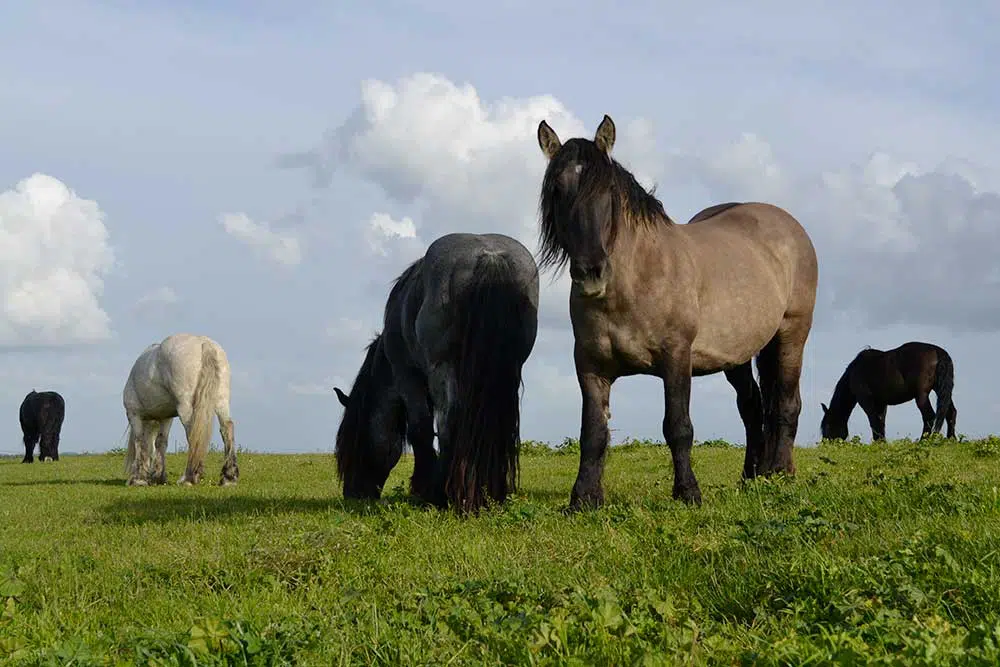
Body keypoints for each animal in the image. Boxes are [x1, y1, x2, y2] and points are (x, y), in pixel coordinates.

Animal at [122, 333, 239, 487]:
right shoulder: (165, 418)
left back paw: (188, 478)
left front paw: (138, 479)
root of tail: (204, 343)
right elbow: (160, 442)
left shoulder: (134, 415)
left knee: (193, 434)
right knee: (227, 428)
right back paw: (229, 478)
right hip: (221, 401)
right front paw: (158, 476)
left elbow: (140, 442)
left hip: (186, 408)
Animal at [333, 232, 539, 514]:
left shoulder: (408, 378)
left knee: (448, 422)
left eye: (357, 442)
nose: (353, 493)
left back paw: (445, 494)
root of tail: (490, 256)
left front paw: (422, 489)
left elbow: (420, 430)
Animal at [536, 114, 819, 509]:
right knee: (751, 406)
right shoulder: (591, 366)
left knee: (786, 404)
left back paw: (780, 472)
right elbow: (593, 432)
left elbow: (678, 426)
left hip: (792, 335)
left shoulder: (676, 357)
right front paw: (583, 499)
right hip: (736, 355)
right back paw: (752, 476)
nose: (591, 272)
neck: (636, 281)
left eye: (608, 193)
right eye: (558, 191)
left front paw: (688, 492)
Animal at [820, 341, 956, 442]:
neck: (855, 371)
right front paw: (881, 441)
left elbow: (873, 421)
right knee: (950, 412)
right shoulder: (881, 403)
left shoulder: (865, 400)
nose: (825, 444)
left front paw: (879, 442)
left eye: (827, 426)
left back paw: (923, 441)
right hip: (941, 390)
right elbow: (880, 422)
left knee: (929, 416)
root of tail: (938, 352)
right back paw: (951, 440)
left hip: (921, 395)